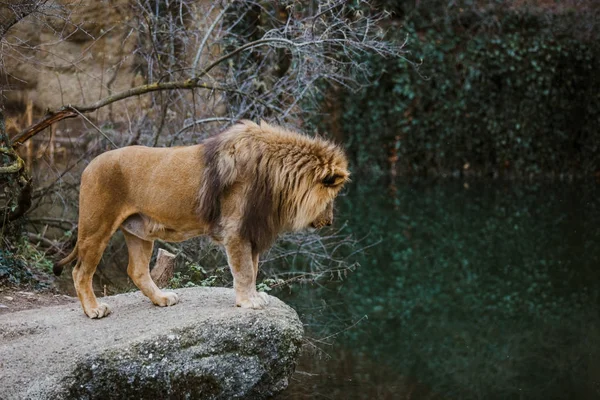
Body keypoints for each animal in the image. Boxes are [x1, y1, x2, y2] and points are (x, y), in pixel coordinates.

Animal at [55, 120, 352, 320]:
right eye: (331, 199)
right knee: (80, 272)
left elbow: (254, 268)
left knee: (137, 271)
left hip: (139, 231)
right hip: (96, 227)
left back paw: (162, 299)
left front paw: (255, 296)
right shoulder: (236, 231)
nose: (330, 222)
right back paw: (94, 309)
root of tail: (88, 165)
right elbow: (245, 270)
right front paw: (248, 302)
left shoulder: (252, 230)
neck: (277, 177)